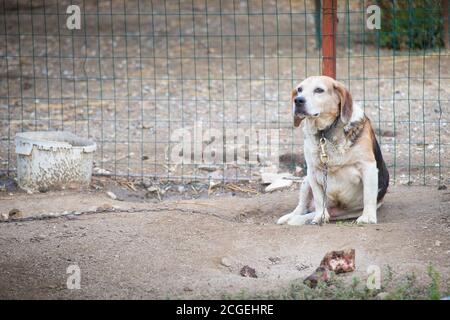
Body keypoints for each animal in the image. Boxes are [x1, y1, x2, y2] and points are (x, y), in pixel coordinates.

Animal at [276, 75, 388, 225]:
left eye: (319, 90)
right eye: (299, 89)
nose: (298, 100)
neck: (325, 132)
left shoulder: (368, 166)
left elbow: (369, 196)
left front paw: (368, 217)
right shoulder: (312, 171)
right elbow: (319, 199)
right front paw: (319, 217)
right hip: (306, 181)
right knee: (302, 207)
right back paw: (292, 217)